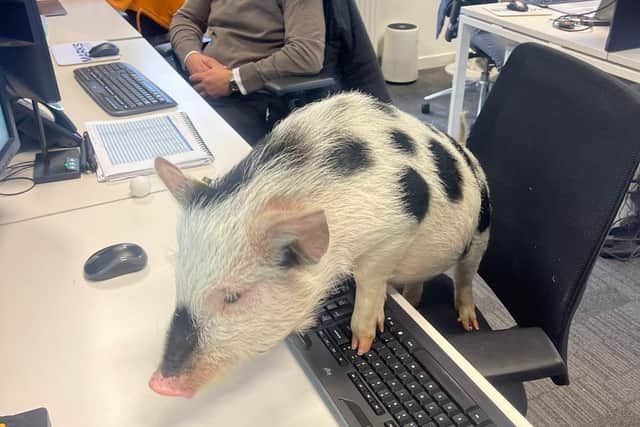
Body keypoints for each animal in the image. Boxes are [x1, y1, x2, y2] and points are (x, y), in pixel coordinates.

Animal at [149, 92, 491, 398]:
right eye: (180, 281)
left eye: (233, 297)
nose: (156, 384)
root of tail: (467, 149)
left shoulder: (396, 230)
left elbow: (369, 281)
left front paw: (361, 344)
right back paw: (414, 301)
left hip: (481, 233)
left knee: (465, 276)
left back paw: (469, 324)